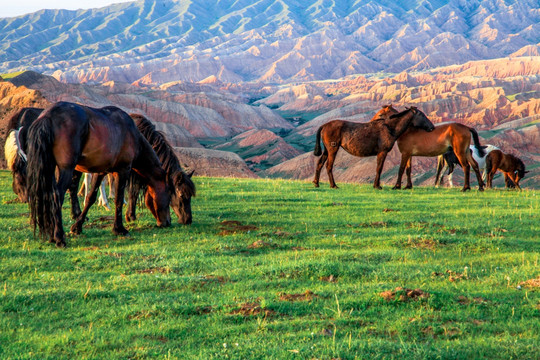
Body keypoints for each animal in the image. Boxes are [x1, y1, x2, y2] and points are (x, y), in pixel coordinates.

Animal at [26, 101, 171, 248]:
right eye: (170, 197)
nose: (168, 222)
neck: (131, 134)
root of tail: (48, 116)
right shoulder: (123, 170)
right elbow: (119, 199)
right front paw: (119, 229)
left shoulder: (102, 171)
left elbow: (90, 198)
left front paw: (77, 227)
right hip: (66, 169)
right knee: (57, 197)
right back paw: (59, 237)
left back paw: (51, 235)